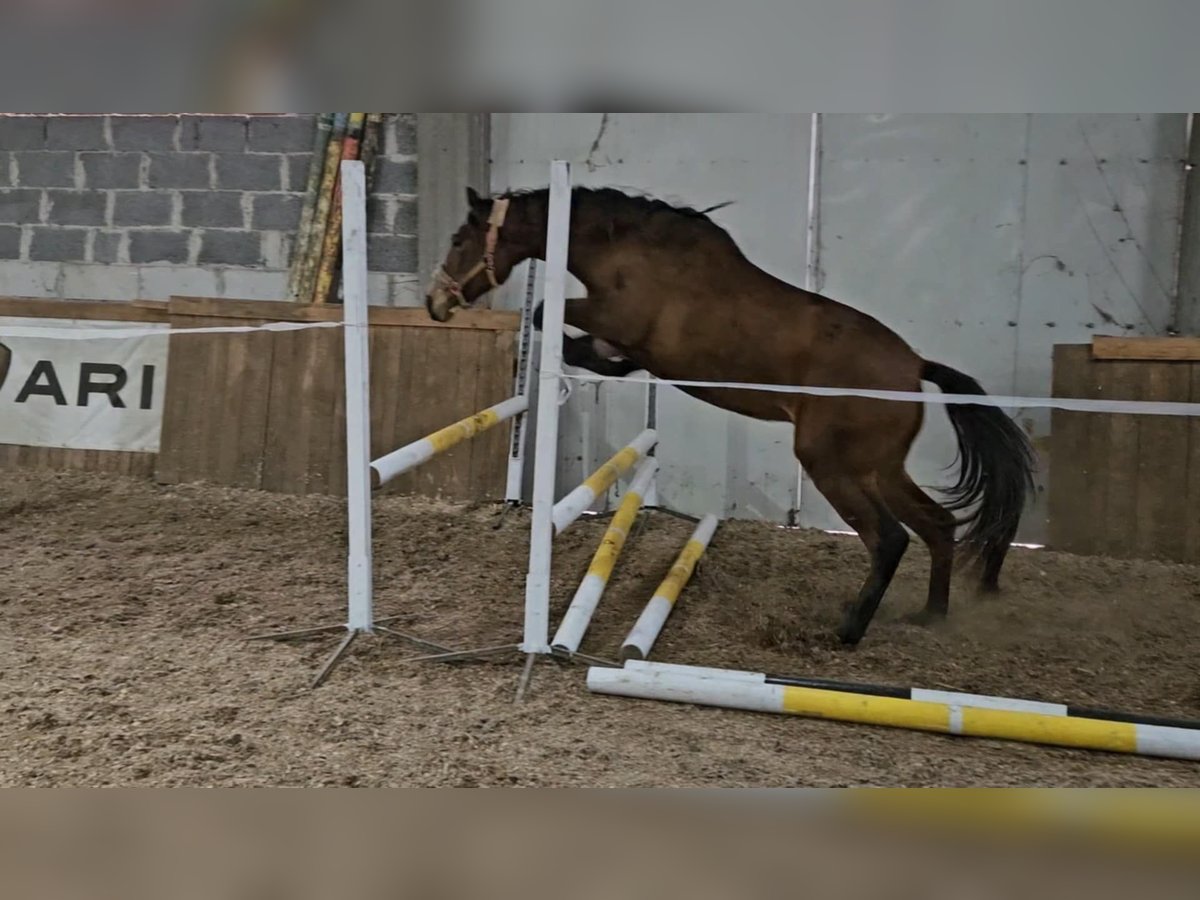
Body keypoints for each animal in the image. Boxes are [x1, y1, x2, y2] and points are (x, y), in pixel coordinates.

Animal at [427, 187, 1036, 643]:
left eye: (458, 239)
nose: (436, 304)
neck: (630, 254)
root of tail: (914, 368)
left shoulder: (616, 316)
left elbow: (543, 312)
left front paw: (586, 355)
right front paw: (602, 361)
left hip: (829, 463)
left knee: (889, 539)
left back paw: (846, 630)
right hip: (879, 469)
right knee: (938, 524)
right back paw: (931, 615)